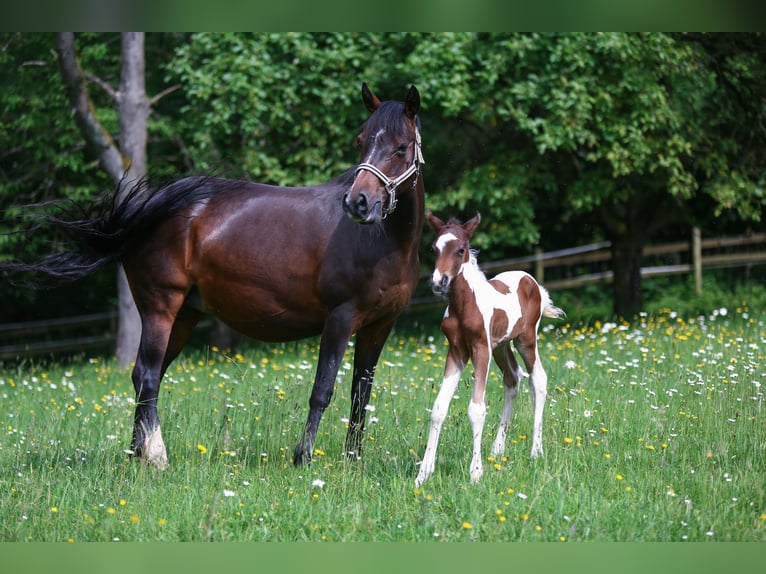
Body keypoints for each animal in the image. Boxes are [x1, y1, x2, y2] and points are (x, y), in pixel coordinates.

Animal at [0, 85, 426, 472]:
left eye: (401, 147)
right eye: (361, 141)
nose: (358, 203)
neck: (380, 241)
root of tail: (148, 210)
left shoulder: (377, 327)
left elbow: (361, 395)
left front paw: (353, 461)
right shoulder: (338, 320)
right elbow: (323, 390)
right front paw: (303, 458)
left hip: (185, 317)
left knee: (145, 379)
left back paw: (136, 454)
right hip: (160, 309)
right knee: (147, 375)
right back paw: (157, 458)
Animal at [416, 212, 568, 486]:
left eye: (461, 249)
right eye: (434, 248)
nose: (438, 282)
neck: (465, 305)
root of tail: (533, 282)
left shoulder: (480, 350)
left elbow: (476, 409)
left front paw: (475, 472)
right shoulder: (456, 352)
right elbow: (438, 407)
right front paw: (423, 473)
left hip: (525, 340)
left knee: (538, 379)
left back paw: (536, 451)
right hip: (501, 346)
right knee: (513, 379)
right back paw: (498, 449)